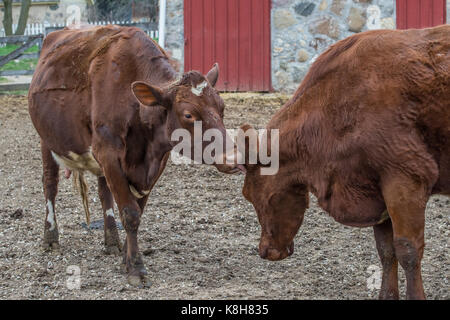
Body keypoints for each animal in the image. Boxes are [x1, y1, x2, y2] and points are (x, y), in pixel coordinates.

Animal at [28, 24, 243, 284]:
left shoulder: (154, 164)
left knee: (104, 193)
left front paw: (127, 259)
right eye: (188, 114)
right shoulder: (108, 153)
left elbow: (135, 211)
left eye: (222, 108)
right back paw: (50, 237)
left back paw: (112, 240)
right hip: (46, 140)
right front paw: (136, 268)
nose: (234, 158)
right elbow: (130, 213)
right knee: (50, 185)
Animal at [241, 25, 448, 300]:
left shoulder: (406, 179)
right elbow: (386, 251)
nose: (265, 250)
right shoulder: (376, 189)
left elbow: (408, 250)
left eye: (254, 195)